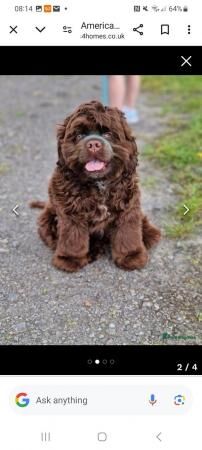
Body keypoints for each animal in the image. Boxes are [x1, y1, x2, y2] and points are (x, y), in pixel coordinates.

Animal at [30, 100, 161, 272]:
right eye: (79, 136)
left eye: (107, 134)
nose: (93, 144)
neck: (99, 183)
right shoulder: (70, 213)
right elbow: (72, 235)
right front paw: (69, 258)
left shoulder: (128, 208)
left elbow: (128, 233)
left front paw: (131, 256)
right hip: (47, 219)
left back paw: (149, 233)